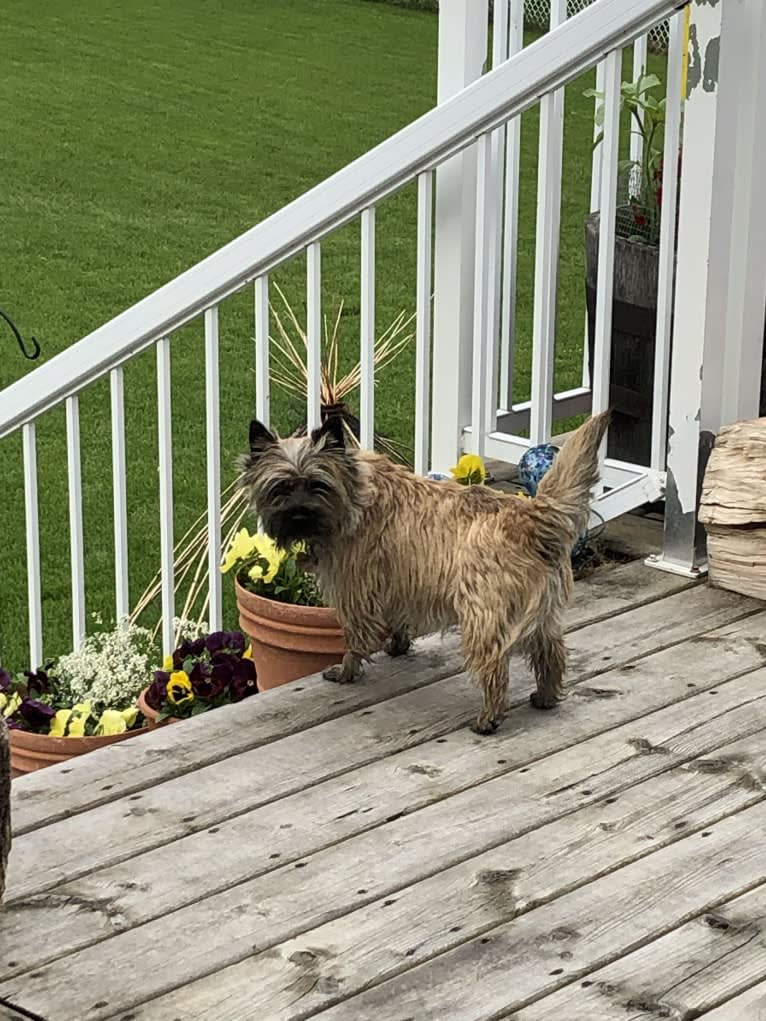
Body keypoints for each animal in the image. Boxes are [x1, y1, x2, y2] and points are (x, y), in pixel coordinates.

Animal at [240, 410, 612, 739]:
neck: (353, 495)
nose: (298, 515)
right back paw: (545, 697)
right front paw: (398, 645)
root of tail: (533, 518)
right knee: (551, 653)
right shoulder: (398, 583)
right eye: (280, 488)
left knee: (495, 669)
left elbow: (355, 637)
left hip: (483, 616)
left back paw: (488, 719)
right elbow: (397, 620)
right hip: (545, 614)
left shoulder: (354, 590)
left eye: (318, 485)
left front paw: (347, 670)